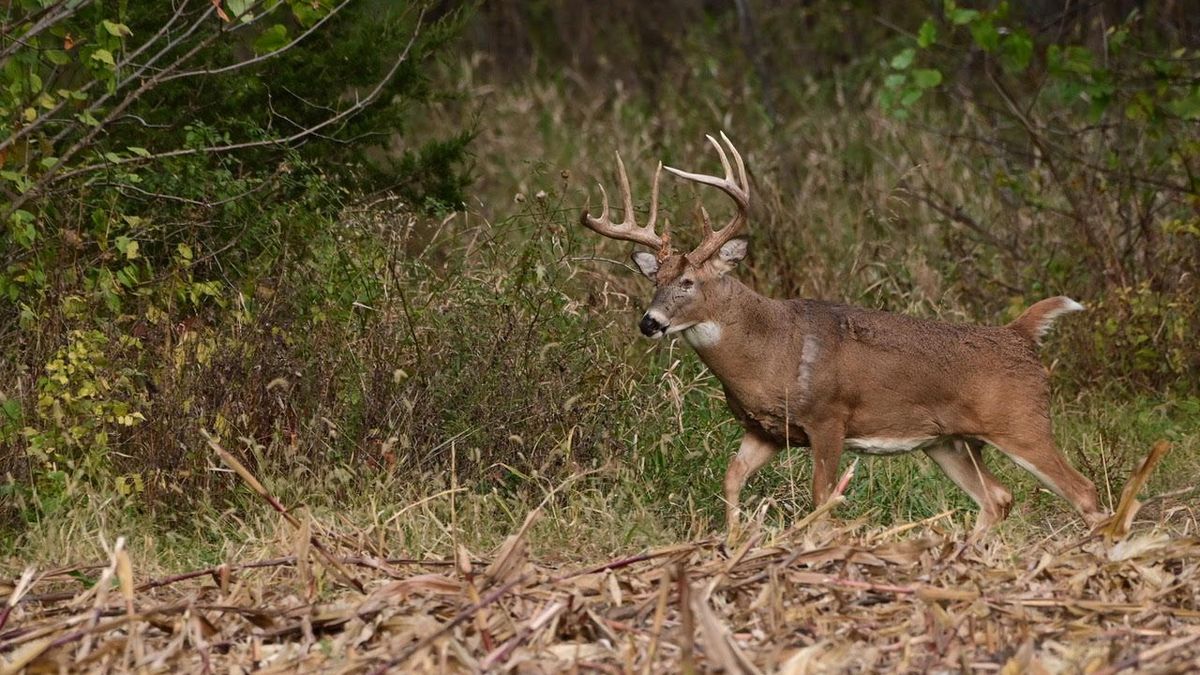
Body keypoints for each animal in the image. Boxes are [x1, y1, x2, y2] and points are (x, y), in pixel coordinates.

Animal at [580, 133, 1104, 538]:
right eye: (655, 280)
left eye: (688, 282)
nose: (650, 322)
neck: (770, 351)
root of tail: (1020, 334)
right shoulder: (767, 430)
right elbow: (731, 479)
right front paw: (733, 542)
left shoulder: (829, 417)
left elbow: (822, 497)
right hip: (950, 441)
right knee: (998, 497)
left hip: (1023, 422)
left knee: (1084, 491)